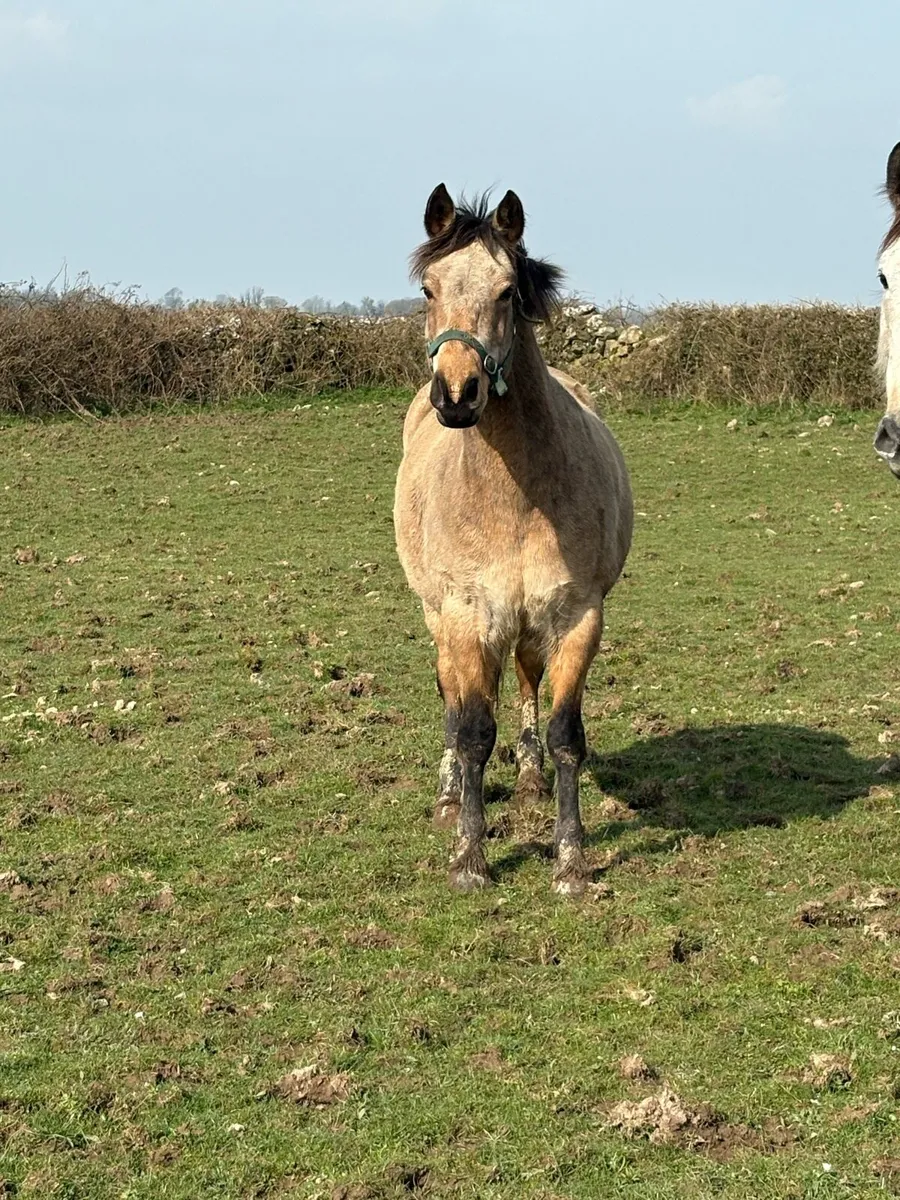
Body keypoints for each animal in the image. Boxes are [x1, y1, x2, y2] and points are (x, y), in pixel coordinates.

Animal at [393, 184, 634, 896]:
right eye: (428, 288)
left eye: (507, 291)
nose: (457, 393)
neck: (516, 498)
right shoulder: (467, 615)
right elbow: (473, 730)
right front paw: (470, 858)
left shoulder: (578, 616)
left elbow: (564, 735)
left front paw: (571, 861)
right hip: (440, 616)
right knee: (452, 696)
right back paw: (450, 797)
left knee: (526, 680)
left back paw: (527, 778)